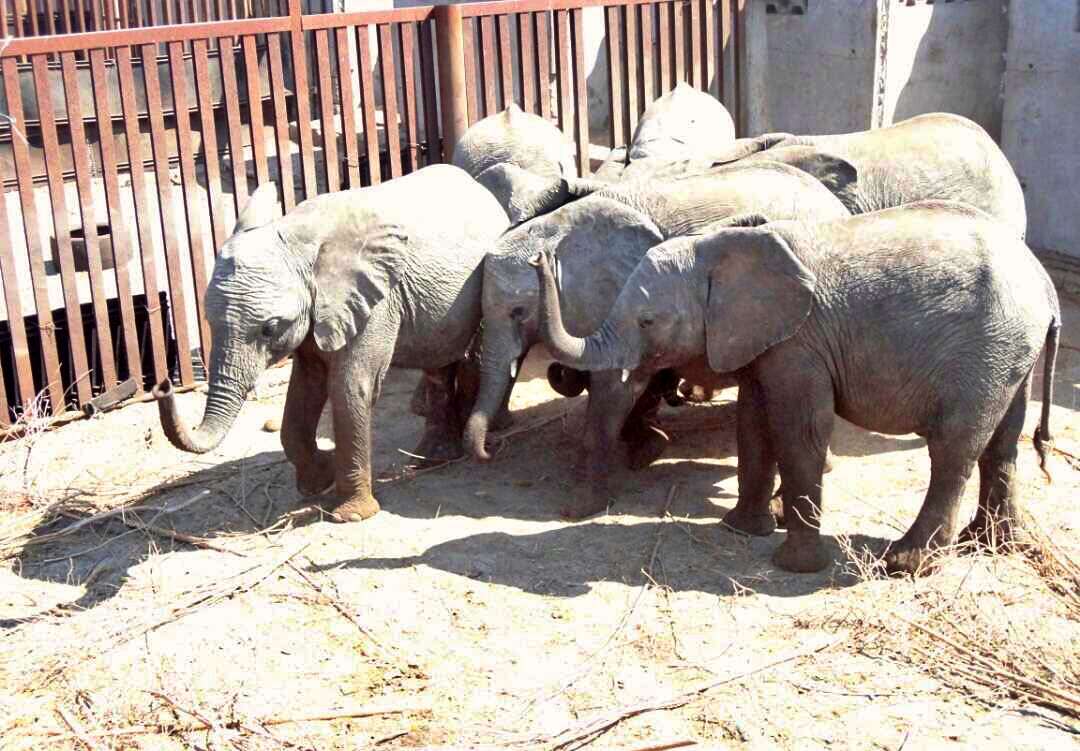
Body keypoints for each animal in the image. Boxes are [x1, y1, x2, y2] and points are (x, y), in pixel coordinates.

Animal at [154, 165, 509, 522]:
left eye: (269, 329)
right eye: (209, 322)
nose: (162, 386)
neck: (297, 237)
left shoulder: (375, 300)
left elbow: (349, 385)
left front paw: (350, 515)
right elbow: (307, 385)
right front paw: (319, 481)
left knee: (473, 355)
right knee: (438, 362)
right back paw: (432, 458)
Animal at [464, 162, 851, 513]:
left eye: (518, 311)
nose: (488, 451)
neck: (558, 227)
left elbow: (614, 387)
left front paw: (581, 507)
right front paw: (646, 449)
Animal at [530, 200, 1060, 574]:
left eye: (647, 321)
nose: (541, 257)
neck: (719, 245)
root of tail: (1043, 281)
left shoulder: (801, 342)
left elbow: (799, 427)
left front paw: (793, 565)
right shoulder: (761, 341)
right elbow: (754, 422)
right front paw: (742, 531)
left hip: (987, 348)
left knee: (953, 449)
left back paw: (906, 564)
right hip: (1011, 352)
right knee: (1003, 443)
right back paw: (991, 544)